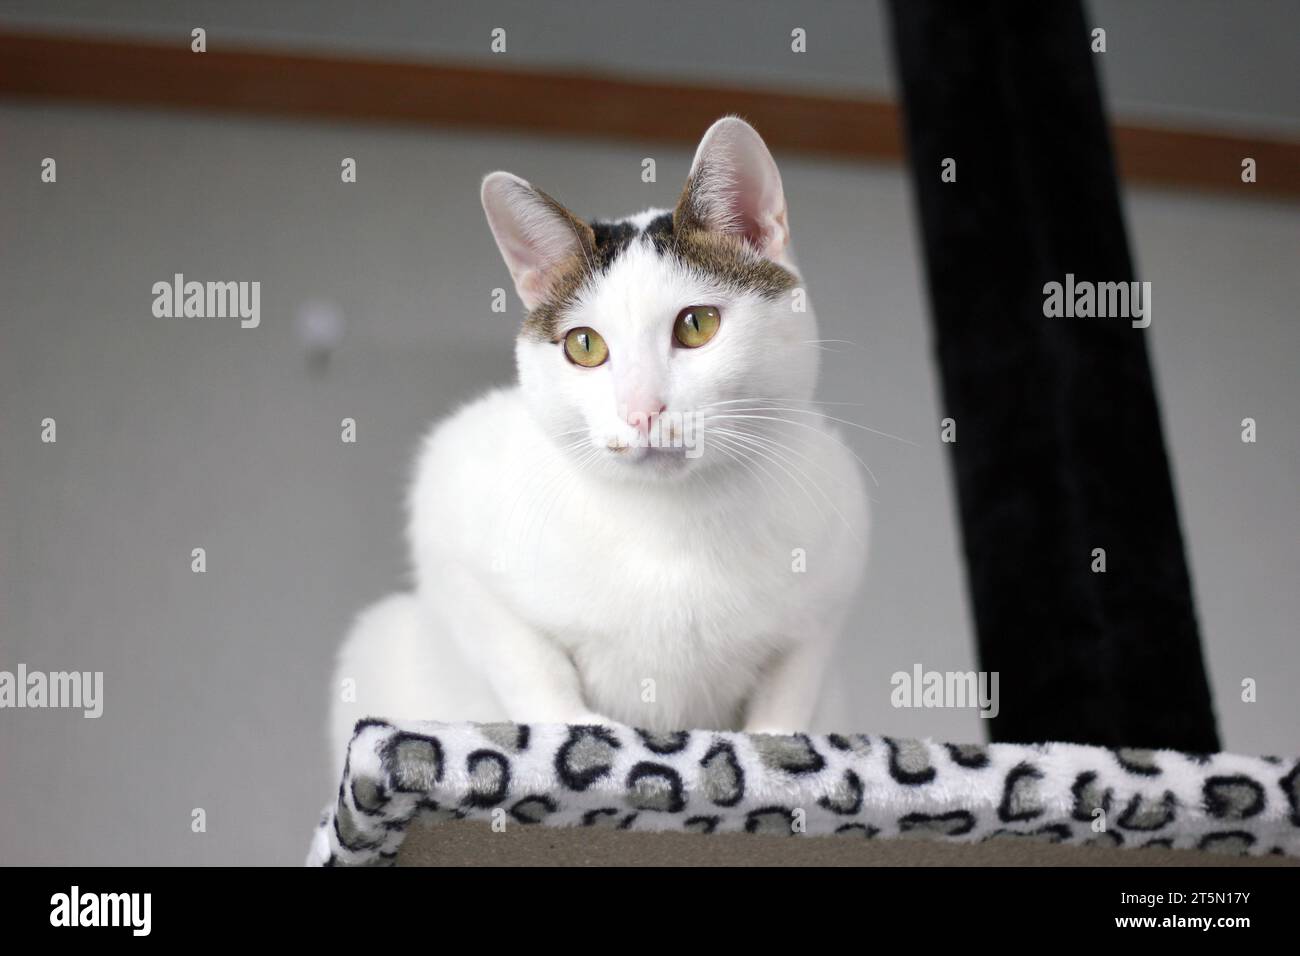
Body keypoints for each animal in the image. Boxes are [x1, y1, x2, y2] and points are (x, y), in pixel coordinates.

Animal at [330, 119, 868, 780]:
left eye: (696, 325)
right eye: (584, 345)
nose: (641, 410)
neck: (672, 526)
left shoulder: (831, 584)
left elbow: (792, 678)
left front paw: (775, 740)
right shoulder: (447, 509)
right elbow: (522, 656)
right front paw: (579, 729)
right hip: (379, 634)